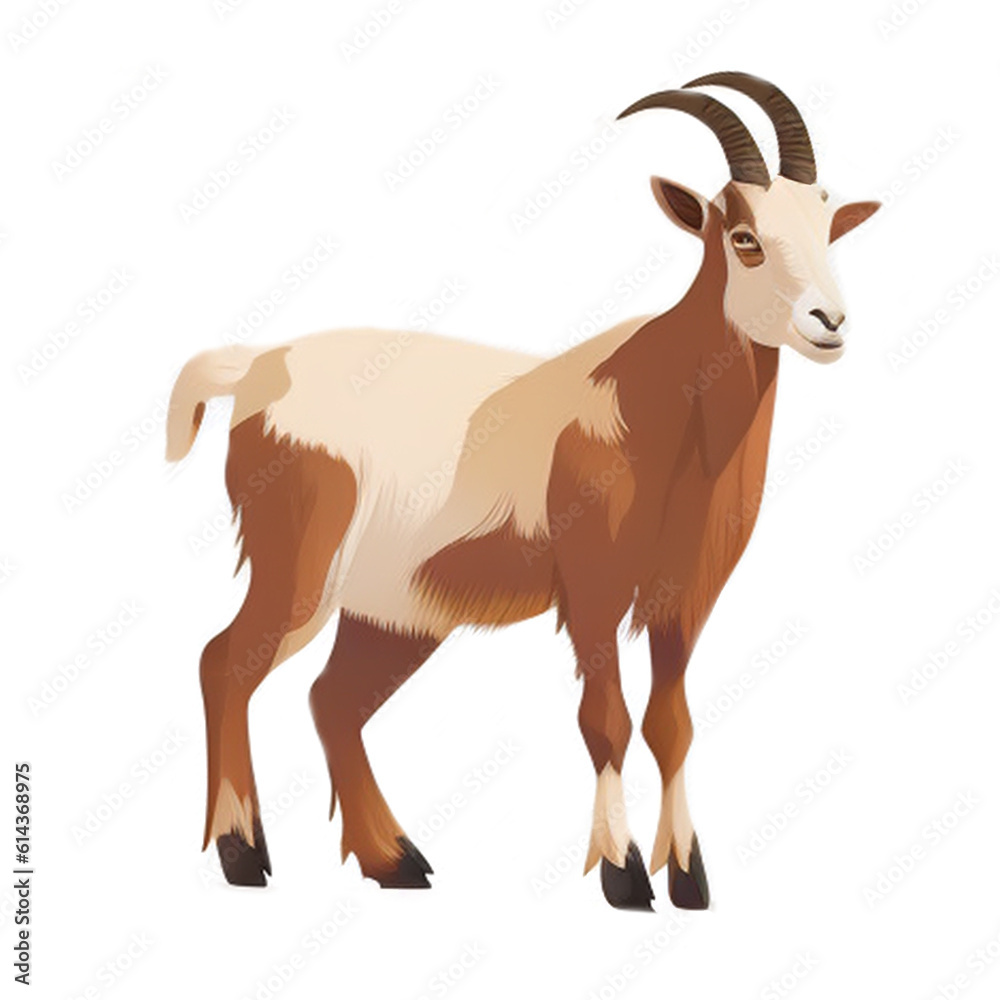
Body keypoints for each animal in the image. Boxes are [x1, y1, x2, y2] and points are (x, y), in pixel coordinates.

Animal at [167, 72, 880, 910]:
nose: (829, 321)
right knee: (226, 663)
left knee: (332, 700)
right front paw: (623, 875)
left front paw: (689, 877)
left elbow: (671, 723)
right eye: (744, 236)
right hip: (300, 571)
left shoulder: (682, 597)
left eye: (829, 226)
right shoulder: (595, 590)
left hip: (397, 610)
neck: (647, 399)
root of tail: (254, 366)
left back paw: (396, 863)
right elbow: (606, 719)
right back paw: (244, 856)